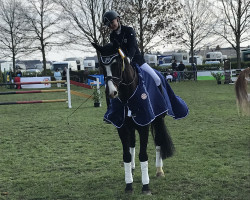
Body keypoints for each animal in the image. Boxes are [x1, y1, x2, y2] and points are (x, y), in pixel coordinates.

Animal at [92, 41, 188, 194]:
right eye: (101, 65)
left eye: (117, 64)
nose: (111, 92)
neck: (127, 95)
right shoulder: (122, 127)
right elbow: (126, 155)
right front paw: (128, 184)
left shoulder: (144, 125)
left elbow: (143, 155)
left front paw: (145, 186)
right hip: (132, 127)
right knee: (132, 144)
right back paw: (132, 169)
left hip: (158, 120)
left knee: (158, 142)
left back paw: (159, 170)